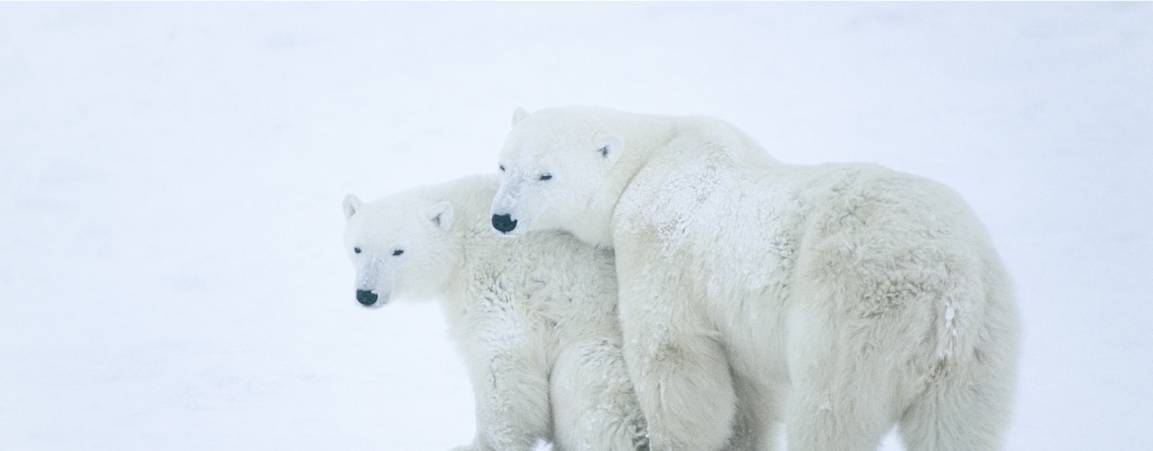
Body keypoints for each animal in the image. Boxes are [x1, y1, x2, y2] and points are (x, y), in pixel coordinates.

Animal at [342, 174, 647, 451]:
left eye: (398, 251)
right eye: (357, 248)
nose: (366, 294)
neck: (464, 239)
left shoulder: (500, 289)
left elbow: (500, 367)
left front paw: (480, 444)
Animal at [488, 106, 1019, 451]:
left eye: (546, 175)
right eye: (503, 164)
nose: (502, 219)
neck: (652, 158)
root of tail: (948, 282)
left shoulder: (658, 243)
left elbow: (673, 359)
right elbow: (750, 389)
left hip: (854, 311)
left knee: (832, 411)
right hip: (979, 344)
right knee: (957, 426)